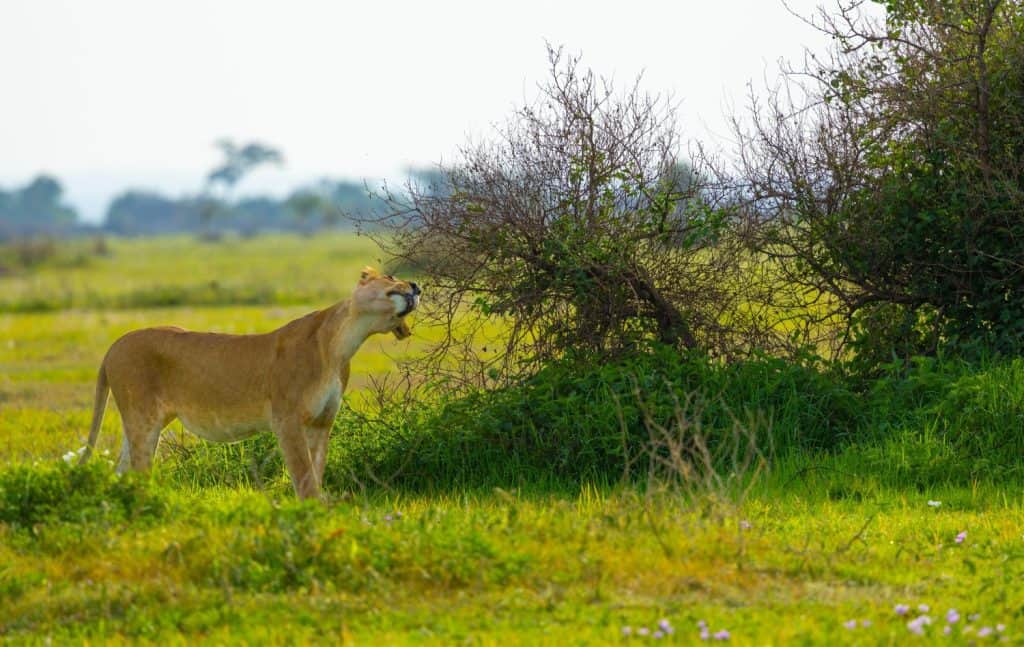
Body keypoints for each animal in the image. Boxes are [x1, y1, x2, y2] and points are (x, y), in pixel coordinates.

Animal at [77, 267, 420, 500]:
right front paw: (312, 514)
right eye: (391, 276)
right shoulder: (287, 420)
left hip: (138, 421)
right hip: (143, 418)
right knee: (138, 470)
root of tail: (114, 345)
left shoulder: (322, 422)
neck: (342, 345)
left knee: (122, 468)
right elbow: (304, 476)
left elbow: (317, 471)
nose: (417, 285)